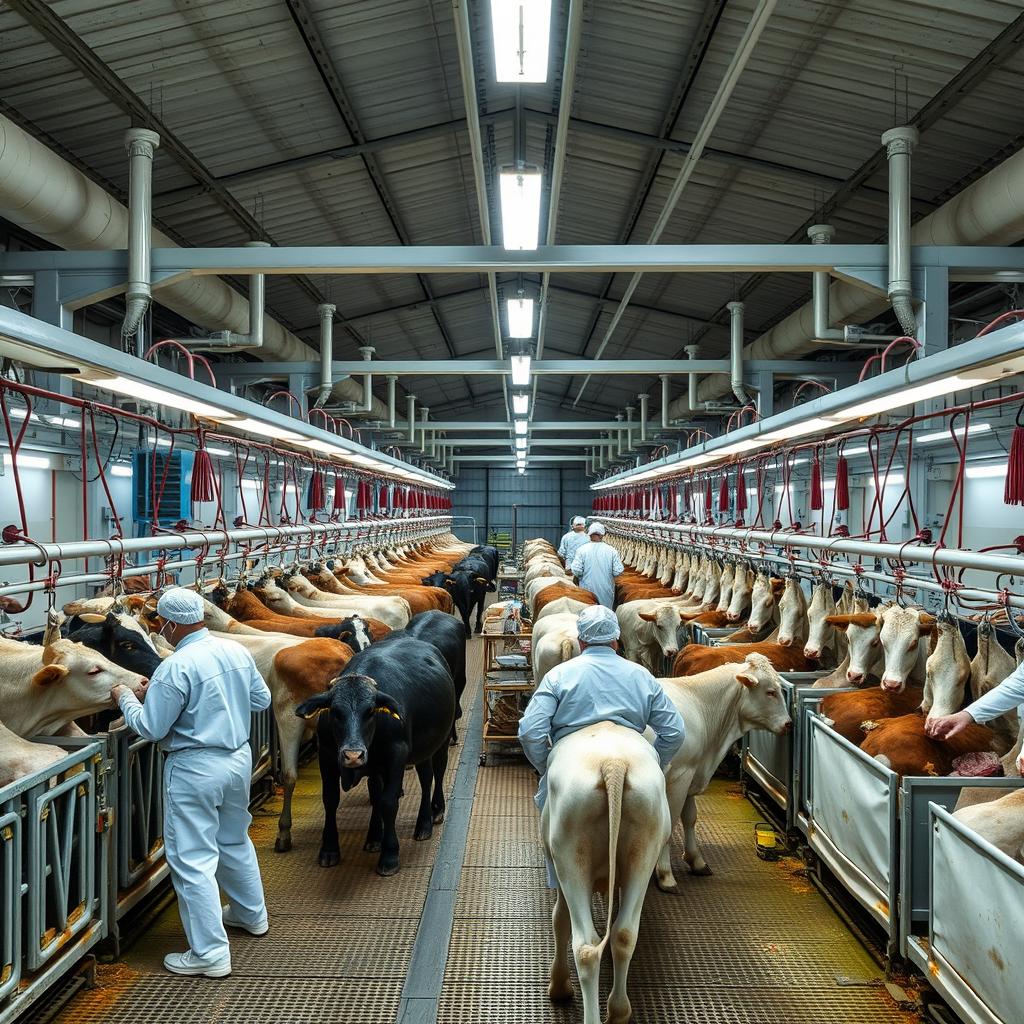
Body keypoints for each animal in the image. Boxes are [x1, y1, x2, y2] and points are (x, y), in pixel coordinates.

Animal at [296, 638, 456, 872]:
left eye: (370, 711)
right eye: (335, 712)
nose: (353, 755)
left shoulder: (396, 757)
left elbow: (389, 802)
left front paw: (389, 854)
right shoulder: (326, 756)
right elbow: (331, 799)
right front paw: (329, 849)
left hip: (440, 740)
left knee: (434, 775)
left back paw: (428, 819)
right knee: (400, 783)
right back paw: (375, 836)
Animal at [544, 720, 671, 1024]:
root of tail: (613, 763)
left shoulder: (558, 871)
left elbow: (559, 919)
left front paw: (559, 985)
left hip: (570, 850)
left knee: (586, 946)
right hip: (645, 843)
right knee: (624, 933)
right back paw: (619, 1010)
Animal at [655, 655, 790, 888]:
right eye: (771, 692)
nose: (789, 723)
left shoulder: (693, 772)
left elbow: (690, 817)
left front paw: (696, 860)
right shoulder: (680, 775)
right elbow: (670, 822)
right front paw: (665, 874)